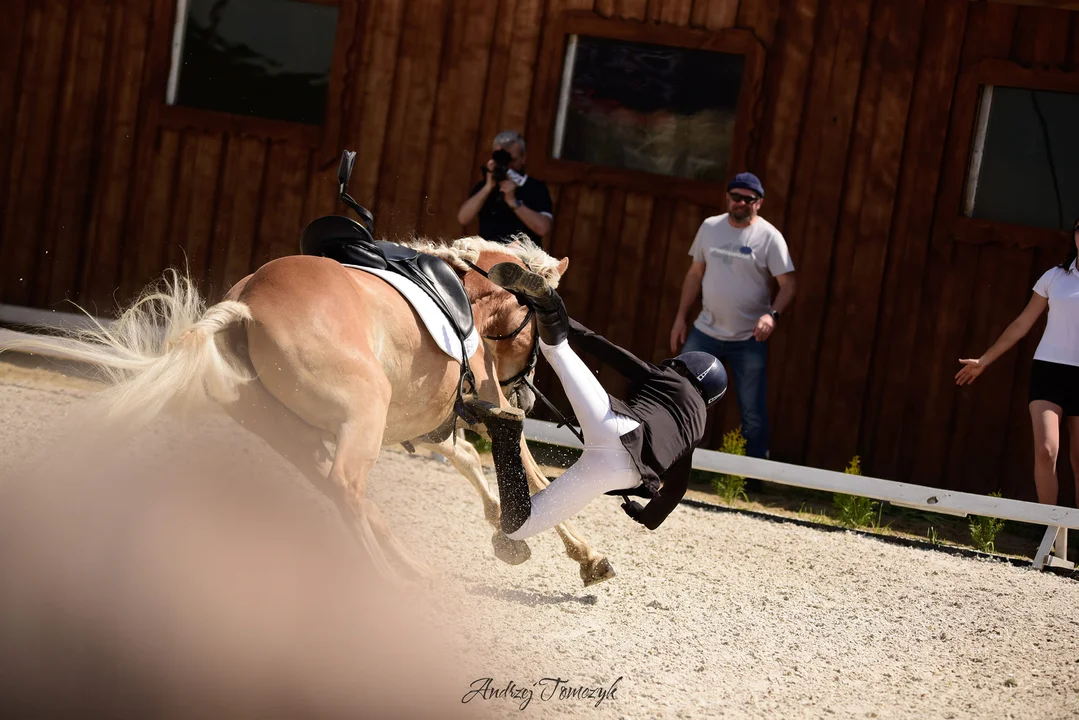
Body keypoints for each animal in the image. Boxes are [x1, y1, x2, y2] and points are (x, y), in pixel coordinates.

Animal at [4, 152, 617, 587]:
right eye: (538, 334)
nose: (532, 398)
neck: (471, 291)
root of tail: (246, 304)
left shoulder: (432, 418)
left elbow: (470, 457)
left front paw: (505, 529)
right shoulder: (482, 399)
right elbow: (533, 473)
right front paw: (582, 556)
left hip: (294, 431)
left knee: (349, 497)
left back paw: (409, 571)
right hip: (362, 413)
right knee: (347, 488)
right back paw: (391, 582)